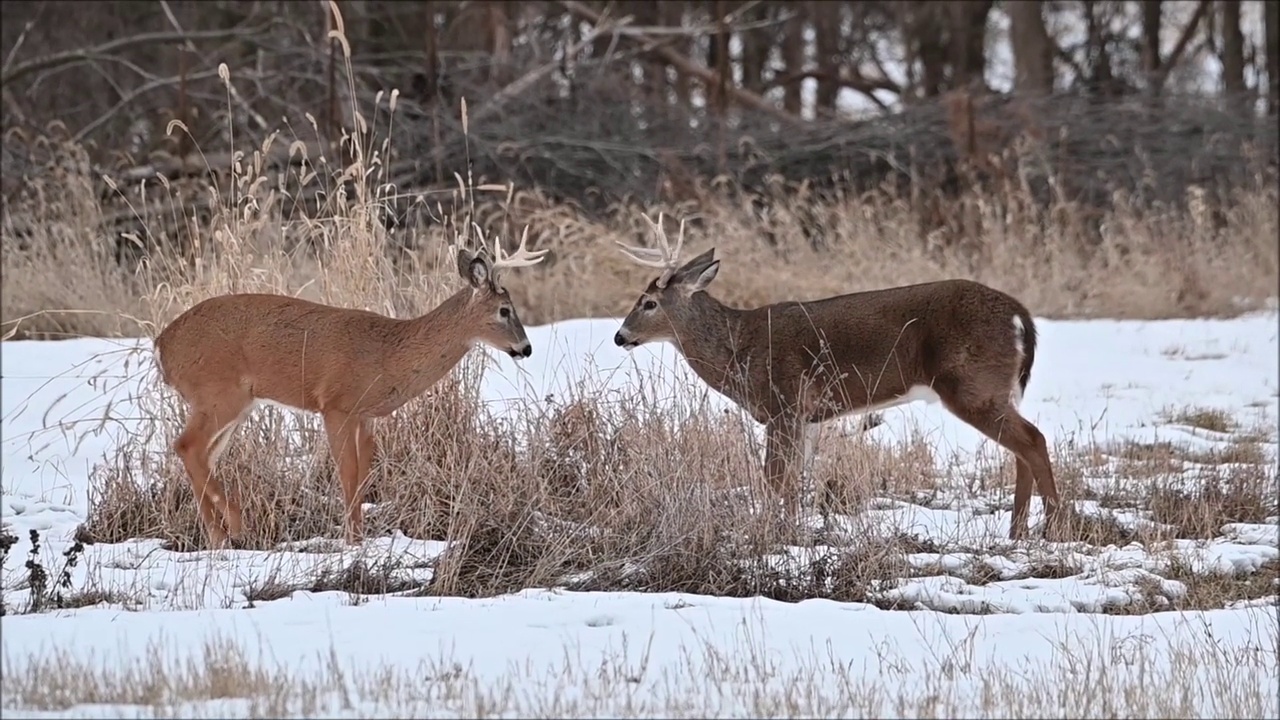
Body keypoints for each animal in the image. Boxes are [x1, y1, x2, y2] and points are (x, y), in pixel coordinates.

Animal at [152, 233, 547, 545]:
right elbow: (347, 474)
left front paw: (359, 536)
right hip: (219, 392)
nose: (526, 348)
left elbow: (362, 477)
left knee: (200, 455)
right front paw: (352, 540)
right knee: (187, 446)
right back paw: (232, 528)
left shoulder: (366, 415)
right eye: (504, 310)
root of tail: (162, 345)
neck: (388, 355)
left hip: (234, 404)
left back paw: (218, 535)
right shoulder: (336, 404)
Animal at [614, 212, 1064, 538]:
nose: (620, 336)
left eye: (649, 303)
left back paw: (1053, 528)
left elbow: (774, 479)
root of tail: (1020, 316)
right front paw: (791, 530)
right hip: (996, 389)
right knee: (1021, 448)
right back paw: (1017, 533)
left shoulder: (784, 404)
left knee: (1033, 441)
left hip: (971, 384)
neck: (738, 349)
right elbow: (795, 482)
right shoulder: (809, 417)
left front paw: (773, 534)